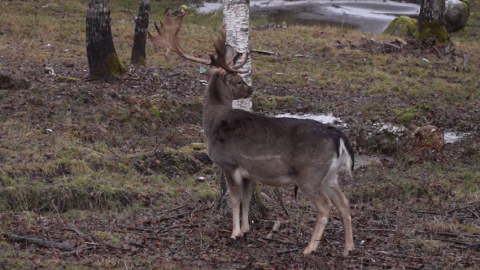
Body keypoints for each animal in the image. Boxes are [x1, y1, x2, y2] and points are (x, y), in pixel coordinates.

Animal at [148, 10, 354, 255]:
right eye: (239, 81)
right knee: (345, 203)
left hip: (310, 174)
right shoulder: (248, 172)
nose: (250, 89)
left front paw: (235, 233)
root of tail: (338, 137)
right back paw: (348, 247)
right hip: (330, 175)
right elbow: (246, 199)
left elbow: (235, 199)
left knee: (325, 206)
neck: (213, 121)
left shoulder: (229, 163)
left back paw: (309, 249)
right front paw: (246, 229)